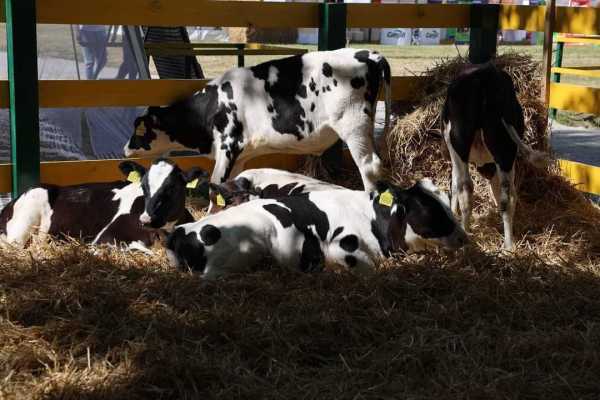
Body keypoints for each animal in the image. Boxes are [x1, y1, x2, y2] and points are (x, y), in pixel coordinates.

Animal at [124, 48, 392, 192]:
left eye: (138, 130)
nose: (125, 148)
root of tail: (366, 53)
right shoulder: (240, 155)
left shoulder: (228, 146)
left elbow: (216, 183)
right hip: (364, 127)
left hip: (354, 125)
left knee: (369, 165)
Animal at [166, 180, 466, 280]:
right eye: (430, 210)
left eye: (447, 201)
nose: (465, 238)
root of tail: (180, 233)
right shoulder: (342, 246)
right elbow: (371, 269)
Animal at [440, 62, 548, 250]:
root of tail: (484, 75)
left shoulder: (453, 153)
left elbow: (454, 183)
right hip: (505, 149)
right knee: (507, 198)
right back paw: (509, 246)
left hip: (460, 144)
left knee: (465, 188)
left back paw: (466, 235)